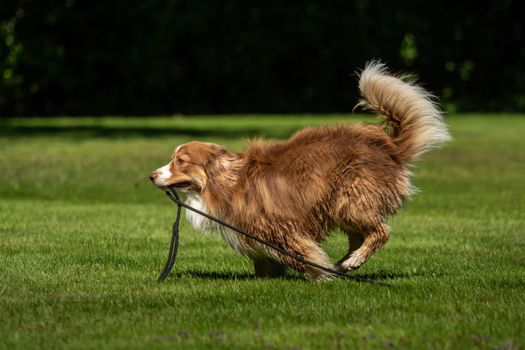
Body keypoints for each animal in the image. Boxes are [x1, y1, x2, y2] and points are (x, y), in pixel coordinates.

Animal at [149, 62, 448, 282]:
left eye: (180, 161)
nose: (152, 175)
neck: (227, 183)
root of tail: (388, 146)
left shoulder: (281, 228)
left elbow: (303, 256)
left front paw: (320, 276)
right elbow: (264, 265)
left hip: (350, 200)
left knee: (380, 232)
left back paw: (351, 261)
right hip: (342, 205)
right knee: (360, 235)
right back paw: (345, 264)